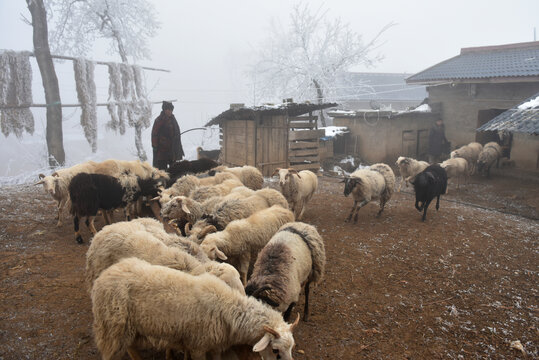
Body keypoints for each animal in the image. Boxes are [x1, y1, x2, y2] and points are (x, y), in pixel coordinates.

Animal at [90, 258, 298, 360]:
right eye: (276, 351)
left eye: (292, 348)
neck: (227, 306)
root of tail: (103, 276)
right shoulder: (198, 345)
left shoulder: (214, 345)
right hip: (112, 328)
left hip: (128, 329)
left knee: (131, 347)